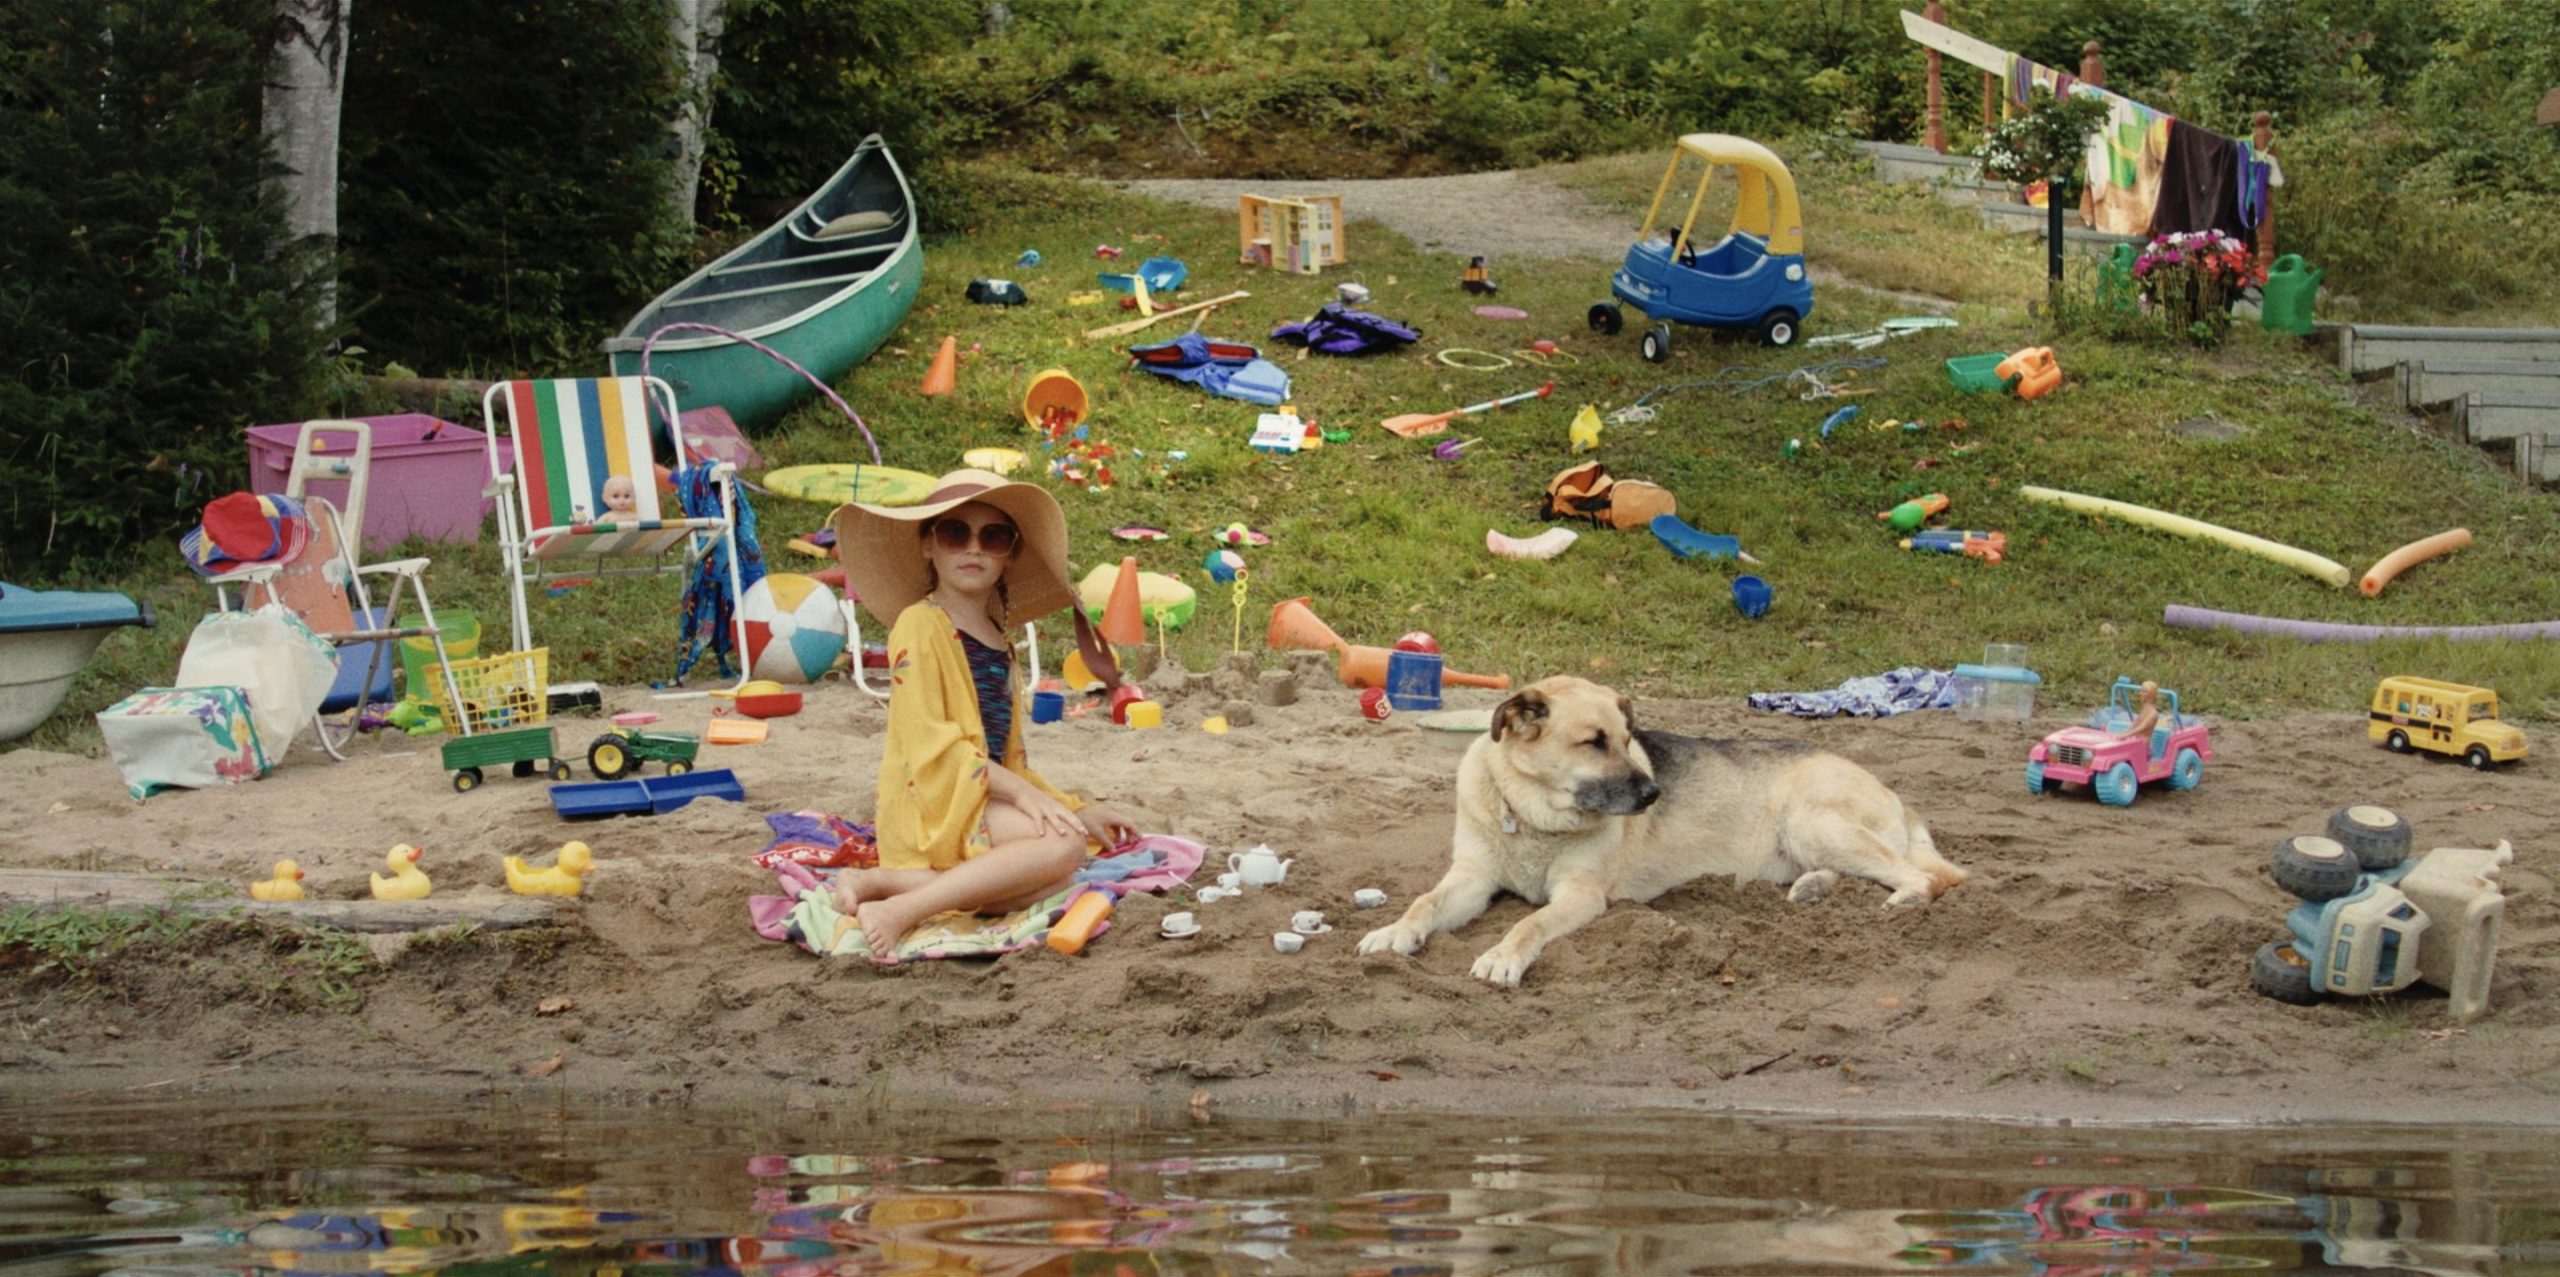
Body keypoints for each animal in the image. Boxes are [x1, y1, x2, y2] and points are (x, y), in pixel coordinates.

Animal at [1361, 680, 1955, 987]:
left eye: (1628, 740)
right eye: (1594, 742)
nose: (1653, 794)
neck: (1531, 816)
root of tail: (1897, 798)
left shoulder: (1580, 895)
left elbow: (1530, 924)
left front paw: (1503, 955)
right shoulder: (1471, 879)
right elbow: (1423, 903)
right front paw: (1395, 932)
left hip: (1814, 820)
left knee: (1927, 880)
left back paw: (1902, 901)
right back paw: (1812, 889)